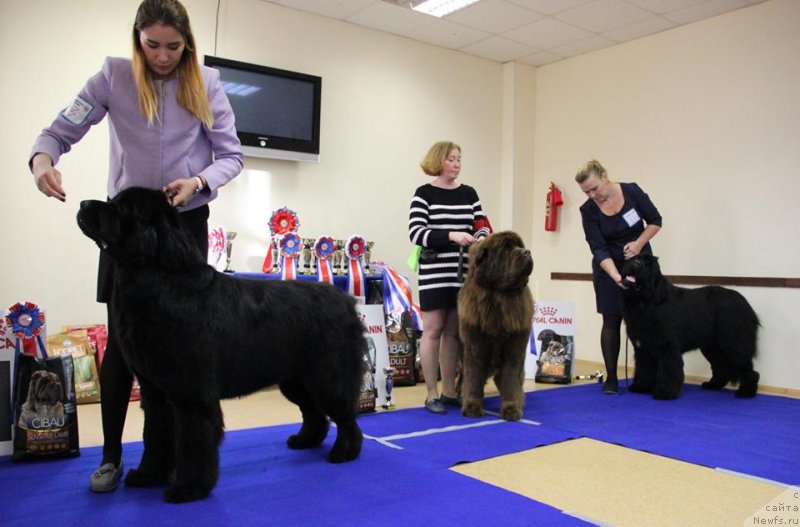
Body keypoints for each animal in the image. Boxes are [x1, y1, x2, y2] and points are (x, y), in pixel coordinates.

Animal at [76, 188, 364, 506]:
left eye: (124, 208)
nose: (83, 203)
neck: (160, 284)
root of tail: (345, 300)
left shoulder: (191, 393)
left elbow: (193, 441)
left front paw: (189, 488)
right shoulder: (155, 392)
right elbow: (155, 435)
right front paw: (147, 475)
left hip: (327, 374)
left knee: (344, 413)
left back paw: (345, 451)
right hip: (295, 378)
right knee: (313, 411)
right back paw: (306, 440)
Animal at [460, 231, 536, 420]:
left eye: (520, 246)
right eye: (506, 248)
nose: (527, 252)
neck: (498, 296)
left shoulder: (514, 348)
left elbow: (510, 381)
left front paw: (511, 408)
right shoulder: (474, 346)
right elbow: (473, 378)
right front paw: (471, 406)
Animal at [620, 256, 760, 400]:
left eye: (647, 265)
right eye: (633, 259)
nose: (635, 264)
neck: (645, 301)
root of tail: (745, 304)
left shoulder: (667, 346)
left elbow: (668, 369)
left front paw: (665, 392)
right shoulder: (643, 348)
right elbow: (644, 368)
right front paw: (641, 386)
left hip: (734, 343)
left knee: (748, 369)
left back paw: (746, 392)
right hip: (712, 347)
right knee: (721, 366)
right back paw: (713, 385)